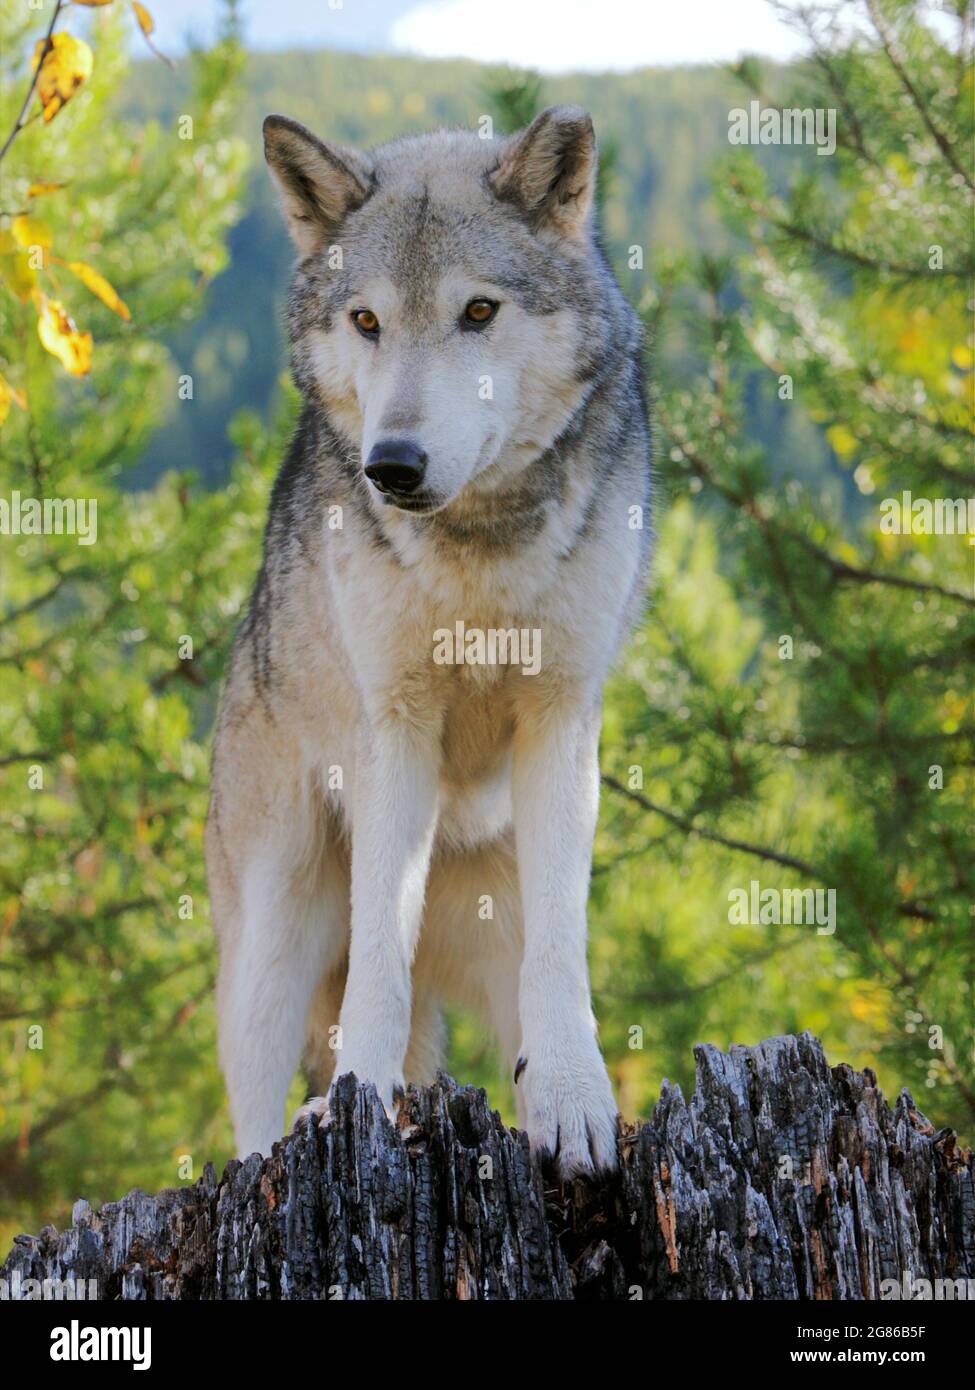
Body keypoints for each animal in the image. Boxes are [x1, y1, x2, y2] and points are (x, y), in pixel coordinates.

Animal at [208, 102, 659, 1178]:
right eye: (366, 321)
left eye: (479, 313)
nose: (393, 465)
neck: (477, 545)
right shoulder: (394, 731)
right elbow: (382, 950)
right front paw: (359, 1106)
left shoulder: (562, 717)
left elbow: (564, 955)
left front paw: (579, 1102)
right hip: (274, 939)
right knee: (253, 1113)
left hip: (492, 928)